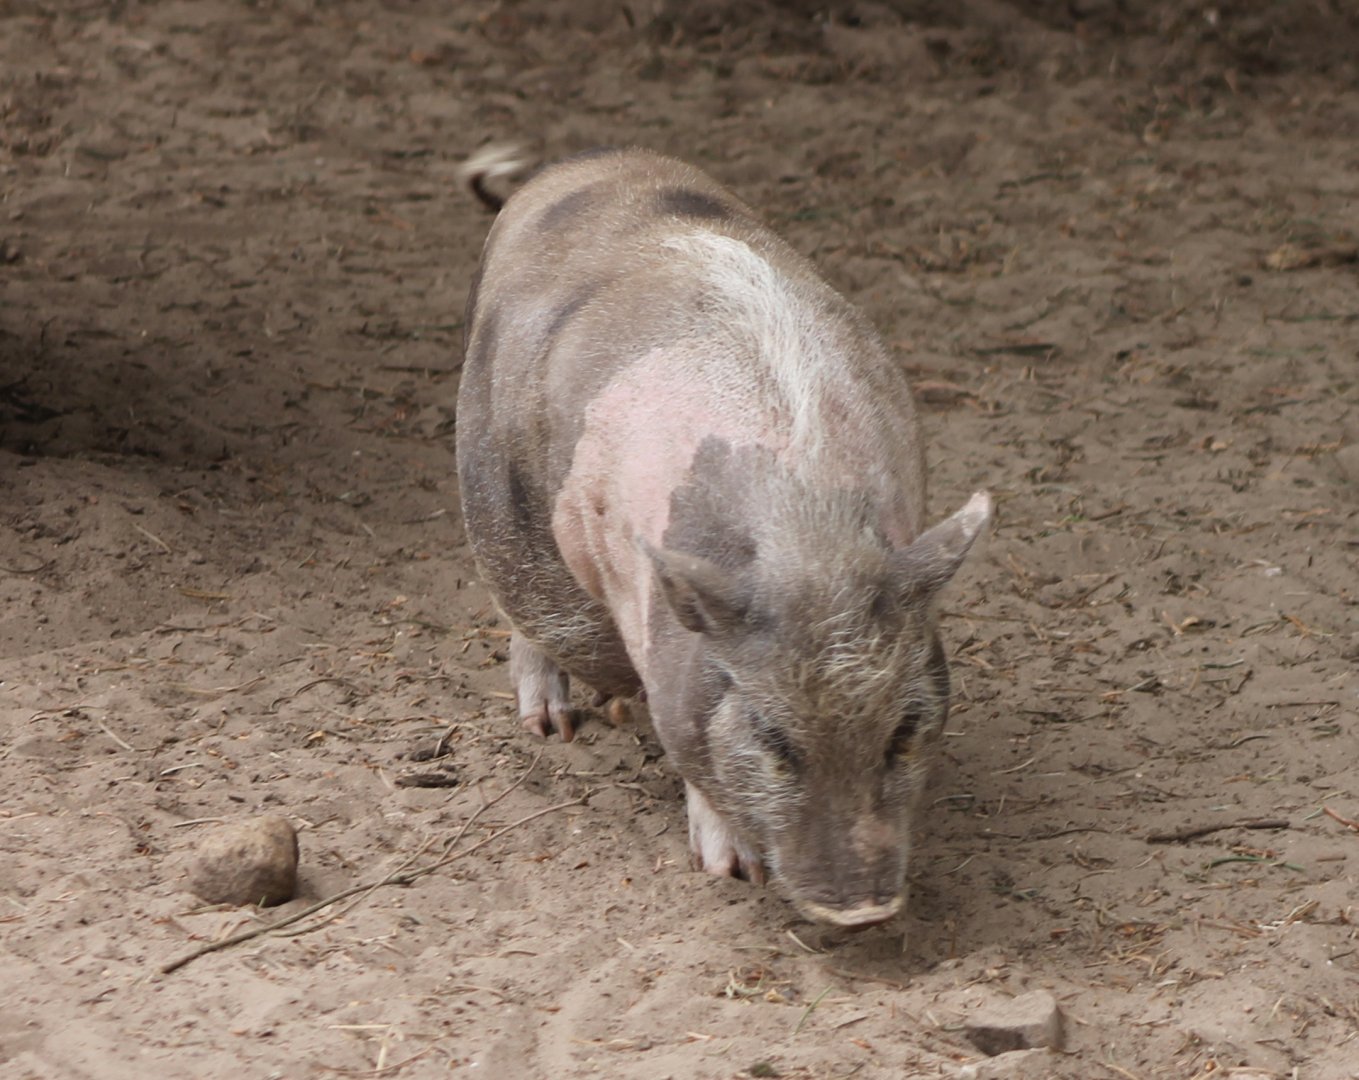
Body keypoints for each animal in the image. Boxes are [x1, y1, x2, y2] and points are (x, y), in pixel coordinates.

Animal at [456, 146, 991, 928]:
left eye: (901, 730)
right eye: (772, 738)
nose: (861, 911)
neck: (806, 537)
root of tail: (576, 168)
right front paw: (731, 873)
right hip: (497, 489)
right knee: (524, 612)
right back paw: (553, 727)